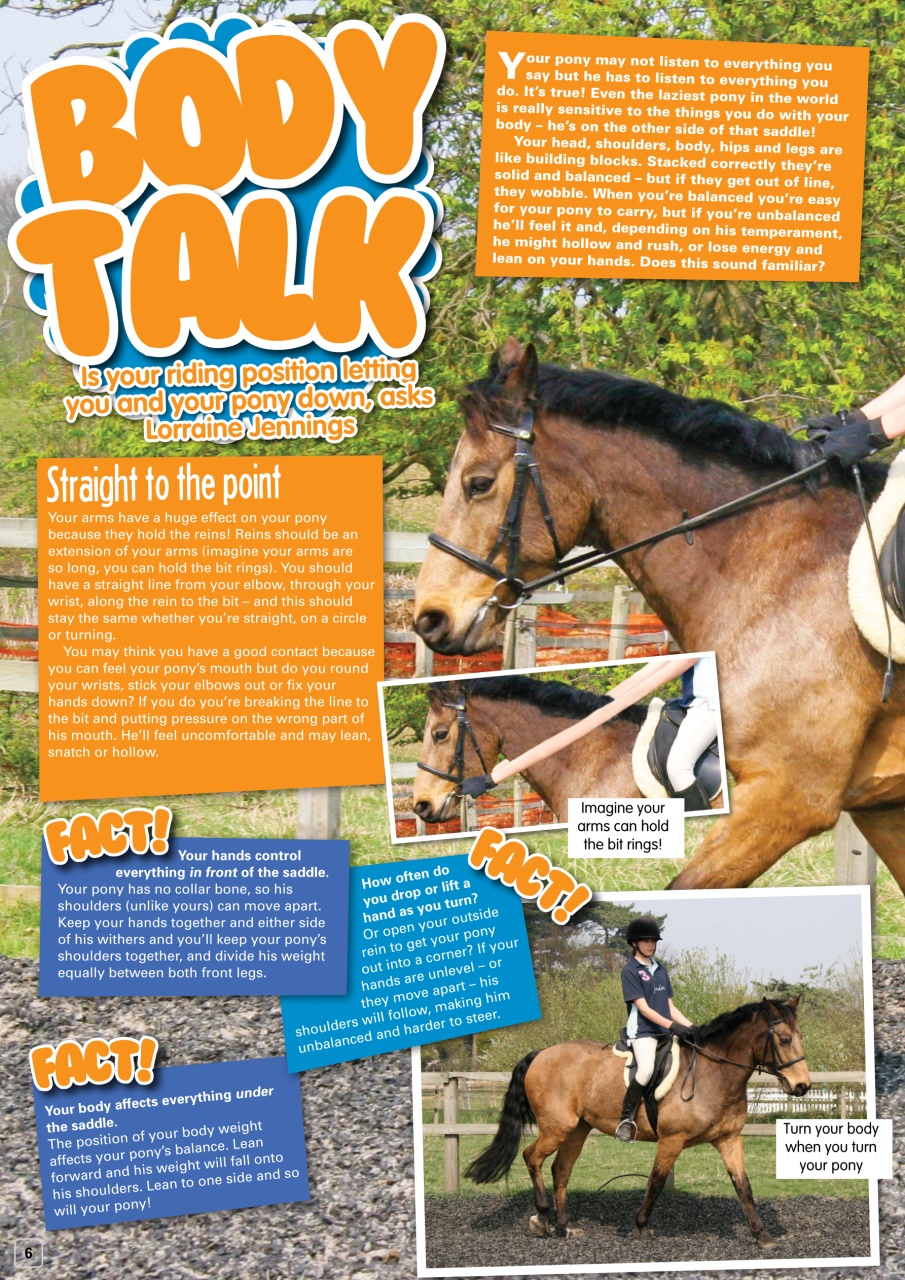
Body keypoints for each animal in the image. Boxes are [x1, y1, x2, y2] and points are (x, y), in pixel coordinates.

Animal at [465, 997, 809, 1247]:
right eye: (783, 1039)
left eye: (799, 1037)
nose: (802, 1086)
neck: (713, 1072)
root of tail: (541, 1054)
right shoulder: (672, 1140)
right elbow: (655, 1182)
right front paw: (642, 1227)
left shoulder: (729, 1139)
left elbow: (744, 1187)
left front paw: (763, 1236)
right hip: (556, 1126)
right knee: (532, 1157)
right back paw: (541, 1219)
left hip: (578, 1129)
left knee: (560, 1170)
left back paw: (565, 1227)